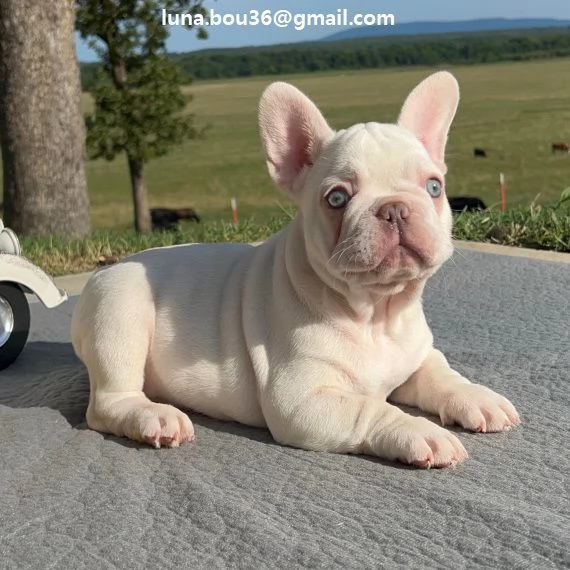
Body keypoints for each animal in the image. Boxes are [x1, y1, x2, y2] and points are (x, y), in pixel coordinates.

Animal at [71, 70, 520, 466]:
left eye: (434, 187)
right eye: (337, 199)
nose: (394, 208)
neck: (375, 313)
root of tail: (108, 269)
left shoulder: (416, 357)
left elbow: (442, 375)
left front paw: (477, 397)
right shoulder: (303, 400)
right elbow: (373, 410)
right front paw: (419, 431)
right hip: (120, 317)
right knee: (108, 401)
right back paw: (153, 415)